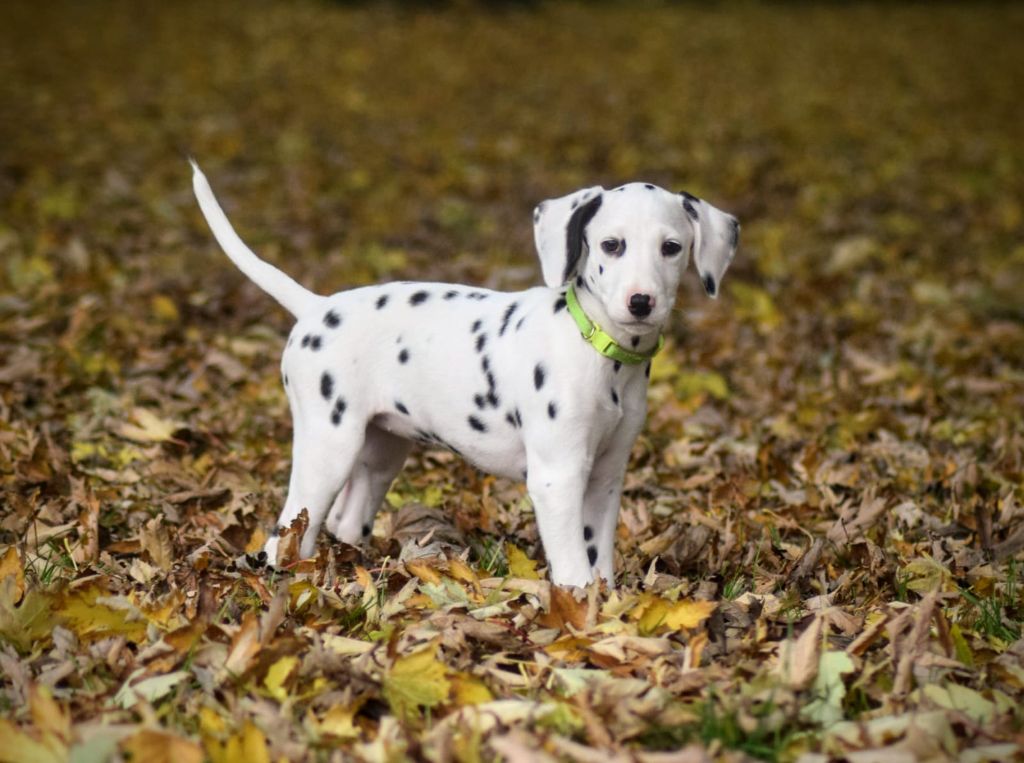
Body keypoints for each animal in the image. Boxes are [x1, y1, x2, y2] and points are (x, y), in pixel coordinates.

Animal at [190, 163, 737, 585]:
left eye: (672, 247)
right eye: (612, 245)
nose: (641, 302)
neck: (599, 353)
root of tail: (316, 306)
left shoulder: (606, 476)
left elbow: (597, 557)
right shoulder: (558, 478)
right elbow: (573, 569)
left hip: (381, 451)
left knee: (346, 520)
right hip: (328, 448)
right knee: (286, 536)